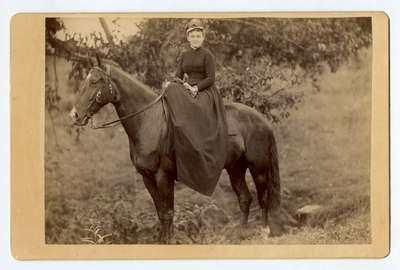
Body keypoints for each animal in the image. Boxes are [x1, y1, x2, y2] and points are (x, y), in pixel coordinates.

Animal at [69, 51, 282, 244]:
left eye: (94, 82)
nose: (74, 115)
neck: (149, 122)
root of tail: (262, 119)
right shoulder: (148, 179)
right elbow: (160, 213)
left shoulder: (164, 176)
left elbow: (168, 213)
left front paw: (170, 242)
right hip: (235, 169)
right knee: (245, 199)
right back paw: (240, 235)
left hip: (258, 168)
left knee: (263, 198)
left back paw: (264, 233)